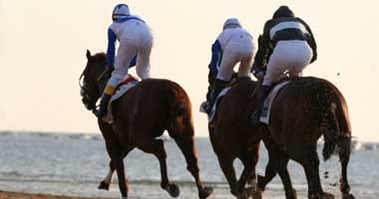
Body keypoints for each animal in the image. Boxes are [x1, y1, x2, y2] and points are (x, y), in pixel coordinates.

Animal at [79, 49, 214, 197]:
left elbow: (119, 170)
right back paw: (202, 191)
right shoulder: (128, 142)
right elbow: (115, 162)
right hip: (184, 132)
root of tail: (171, 91)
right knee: (192, 160)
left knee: (160, 147)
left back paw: (168, 185)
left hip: (141, 137)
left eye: (85, 75)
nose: (84, 99)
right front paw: (105, 182)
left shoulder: (111, 139)